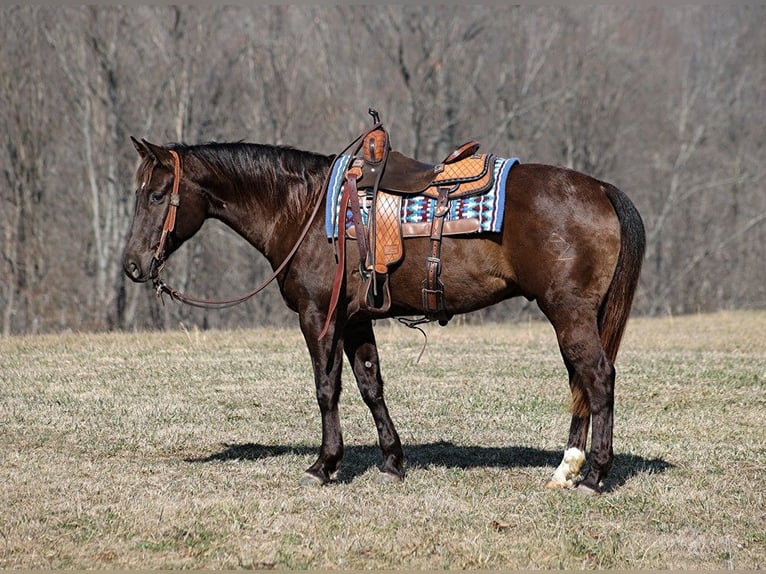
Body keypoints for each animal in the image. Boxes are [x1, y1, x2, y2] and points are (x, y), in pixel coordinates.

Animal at [123, 129, 644, 496]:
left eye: (156, 195)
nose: (133, 265)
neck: (305, 209)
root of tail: (600, 188)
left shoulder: (319, 317)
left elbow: (327, 389)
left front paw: (324, 465)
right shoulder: (356, 320)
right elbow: (370, 385)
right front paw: (392, 461)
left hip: (569, 312)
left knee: (598, 378)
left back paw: (594, 476)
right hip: (574, 315)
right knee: (580, 381)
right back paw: (566, 469)